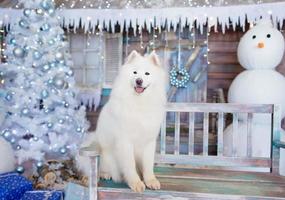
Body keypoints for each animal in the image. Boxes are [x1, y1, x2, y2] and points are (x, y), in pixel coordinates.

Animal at [76, 50, 168, 192]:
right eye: (135, 72)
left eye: (147, 73)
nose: (139, 81)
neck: (139, 103)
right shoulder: (125, 142)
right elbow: (130, 165)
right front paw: (136, 183)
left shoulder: (148, 141)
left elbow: (148, 165)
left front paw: (150, 181)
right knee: (94, 170)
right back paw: (99, 175)